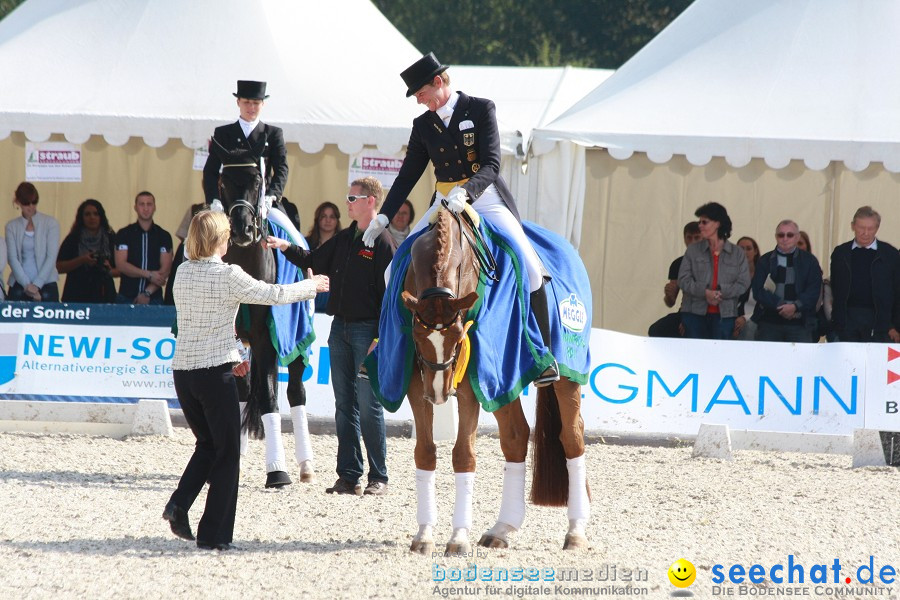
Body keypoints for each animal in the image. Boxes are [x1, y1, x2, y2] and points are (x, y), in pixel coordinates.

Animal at [216, 163, 314, 488]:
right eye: (222, 182)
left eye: (259, 181)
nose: (242, 230)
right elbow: (239, 394)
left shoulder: (265, 340)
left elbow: (271, 397)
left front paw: (277, 472)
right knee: (247, 393)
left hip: (294, 342)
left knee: (295, 393)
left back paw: (305, 465)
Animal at [400, 209, 592, 556]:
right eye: (418, 337)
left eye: (458, 336)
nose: (439, 392)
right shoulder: (415, 385)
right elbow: (425, 451)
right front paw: (424, 536)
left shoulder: (470, 384)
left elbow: (463, 455)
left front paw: (458, 538)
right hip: (505, 381)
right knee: (516, 437)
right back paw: (502, 529)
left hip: (567, 373)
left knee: (572, 437)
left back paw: (576, 532)